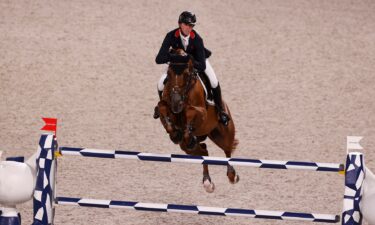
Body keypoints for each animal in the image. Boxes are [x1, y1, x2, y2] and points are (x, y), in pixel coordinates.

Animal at [157, 49, 239, 193]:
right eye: (169, 73)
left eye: (186, 74)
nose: (176, 103)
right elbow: (162, 108)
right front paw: (175, 133)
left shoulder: (202, 113)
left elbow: (191, 111)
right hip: (187, 147)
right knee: (203, 151)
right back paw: (207, 182)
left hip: (223, 134)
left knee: (227, 150)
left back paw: (232, 175)